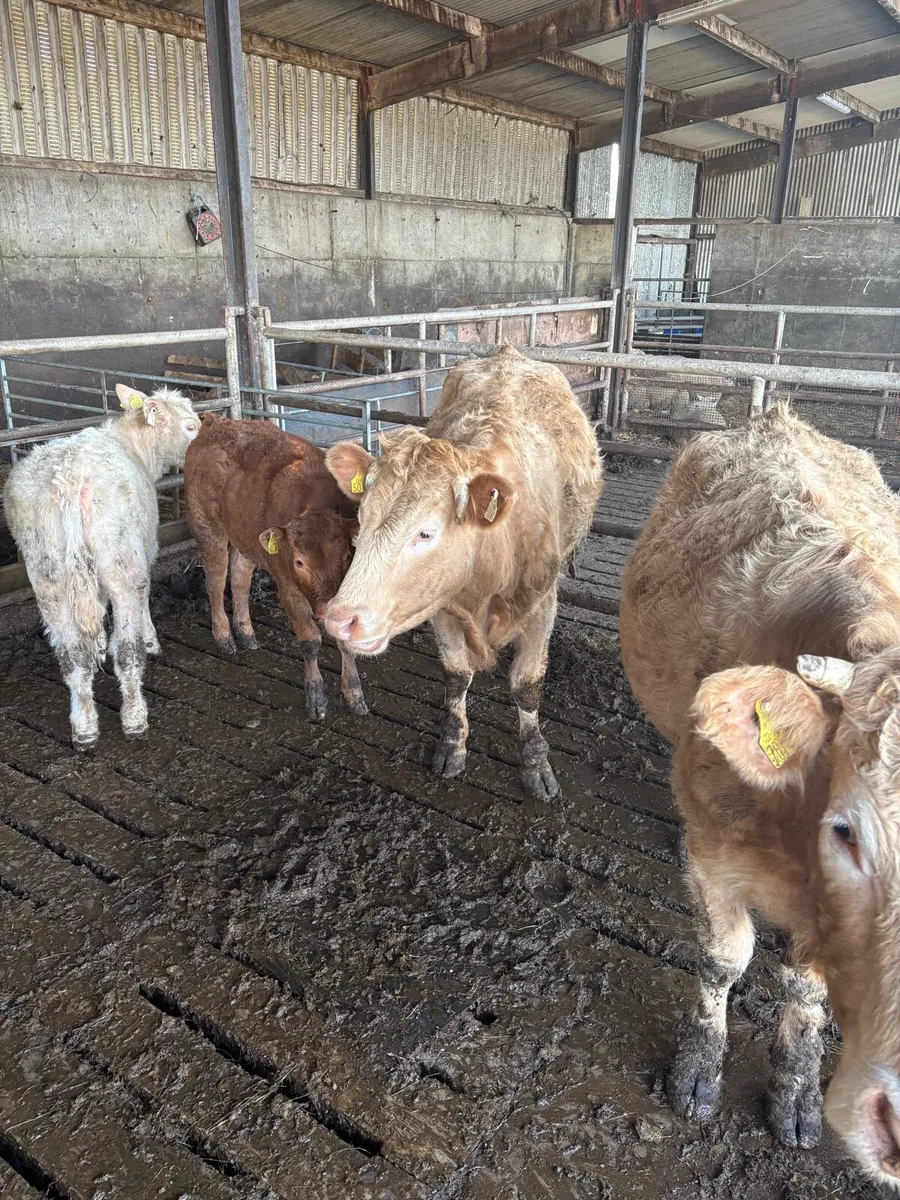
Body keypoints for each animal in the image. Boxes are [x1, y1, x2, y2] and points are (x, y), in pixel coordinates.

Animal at [4, 384, 200, 749]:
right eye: (191, 427)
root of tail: (68, 480)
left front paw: (96, 644)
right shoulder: (146, 548)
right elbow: (143, 599)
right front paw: (150, 639)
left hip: (49, 576)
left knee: (72, 658)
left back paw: (84, 726)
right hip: (121, 560)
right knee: (126, 649)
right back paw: (135, 717)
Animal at [183, 416, 364, 720]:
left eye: (346, 555)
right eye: (299, 562)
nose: (325, 608)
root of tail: (217, 421)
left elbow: (345, 642)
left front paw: (354, 694)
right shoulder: (288, 588)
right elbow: (309, 642)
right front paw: (315, 696)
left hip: (246, 537)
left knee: (240, 578)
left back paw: (245, 633)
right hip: (209, 531)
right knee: (216, 582)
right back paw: (224, 637)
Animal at [323, 345, 603, 799]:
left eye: (425, 532)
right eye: (361, 519)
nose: (340, 619)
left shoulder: (542, 605)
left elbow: (527, 685)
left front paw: (535, 762)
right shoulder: (442, 603)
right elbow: (456, 676)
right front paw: (452, 746)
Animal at [620, 404, 900, 1189]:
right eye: (847, 832)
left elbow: (805, 989)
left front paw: (796, 1093)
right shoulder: (717, 855)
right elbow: (723, 959)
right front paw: (696, 1069)